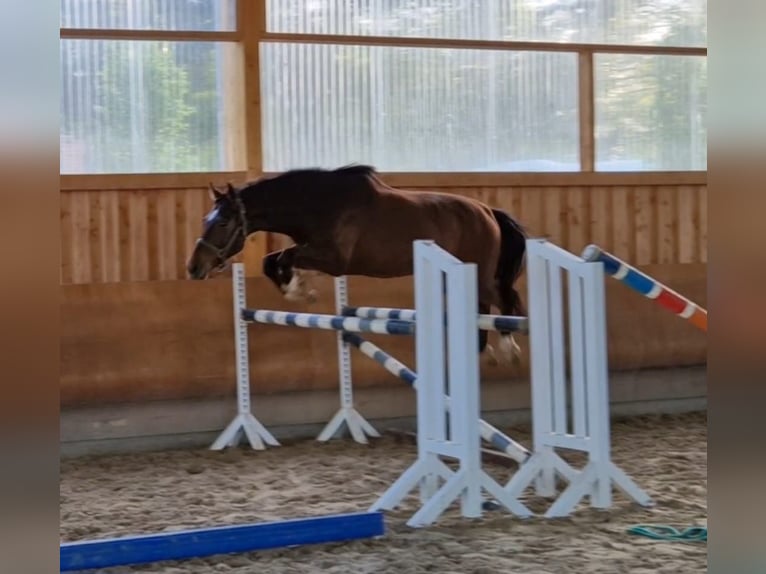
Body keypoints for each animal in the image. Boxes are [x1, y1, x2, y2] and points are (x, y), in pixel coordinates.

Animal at [189, 165, 532, 364]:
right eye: (206, 219)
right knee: (485, 305)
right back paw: (483, 349)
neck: (317, 203)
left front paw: (301, 290)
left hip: (480, 272)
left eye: (222, 222)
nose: (193, 268)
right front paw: (300, 288)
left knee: (504, 300)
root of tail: (488, 211)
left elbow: (283, 258)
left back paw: (508, 350)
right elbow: (271, 261)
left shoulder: (335, 259)